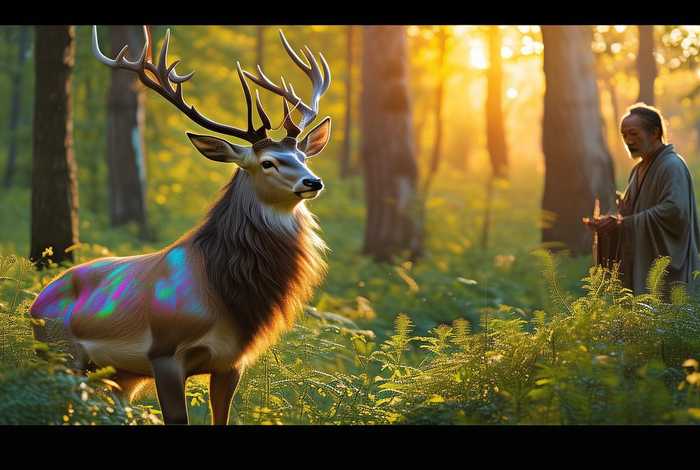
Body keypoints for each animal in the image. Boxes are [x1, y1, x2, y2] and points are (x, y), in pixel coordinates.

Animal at [29, 25, 332, 425]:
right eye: (267, 162)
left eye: (302, 157)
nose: (313, 181)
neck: (220, 293)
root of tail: (35, 303)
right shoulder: (164, 352)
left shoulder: (231, 363)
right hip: (61, 353)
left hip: (116, 376)